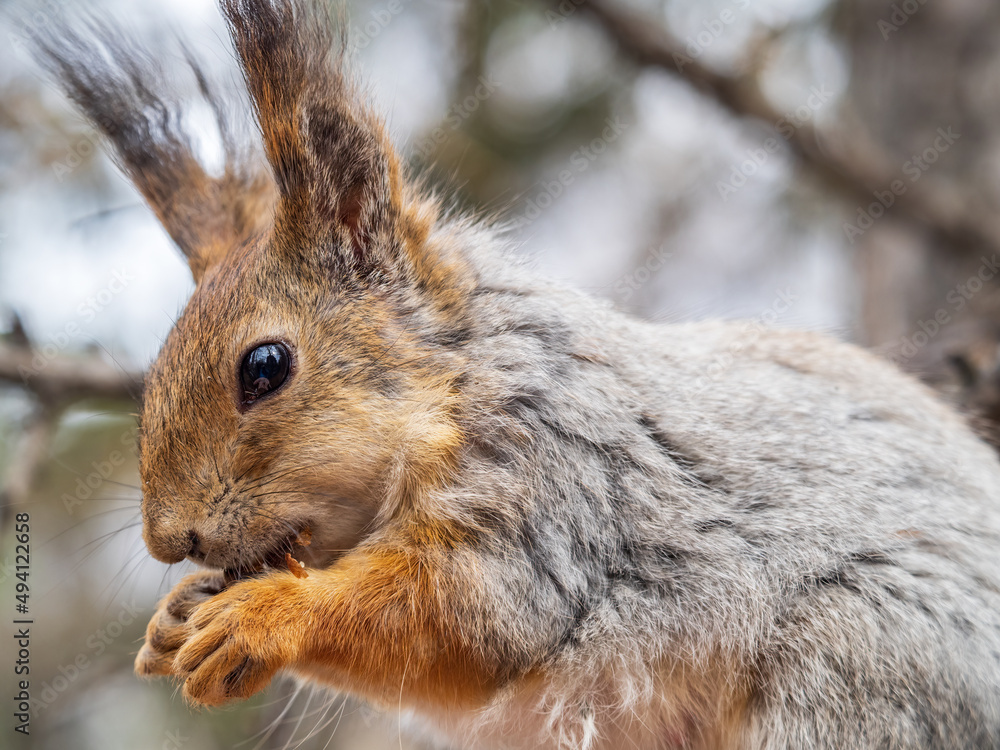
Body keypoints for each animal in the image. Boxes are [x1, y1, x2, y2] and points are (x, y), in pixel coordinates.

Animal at [33, 1, 1000, 748]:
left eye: (264, 366)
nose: (171, 542)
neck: (464, 383)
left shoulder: (550, 489)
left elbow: (468, 619)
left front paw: (263, 618)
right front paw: (174, 618)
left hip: (859, 665)